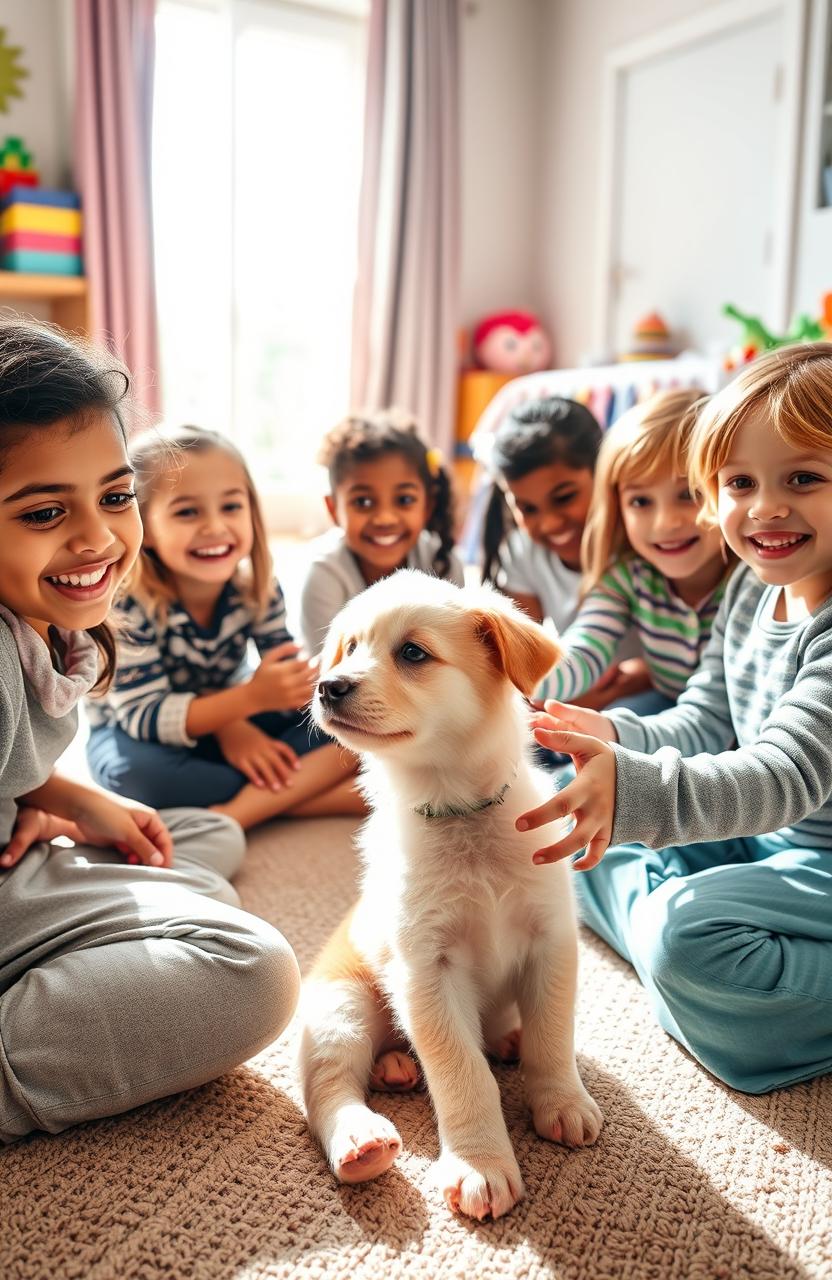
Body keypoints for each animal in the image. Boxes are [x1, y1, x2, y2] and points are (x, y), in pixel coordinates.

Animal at [300, 570, 599, 1218]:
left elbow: (552, 1036)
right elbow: (462, 1070)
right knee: (327, 1086)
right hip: (340, 1009)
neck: (463, 816)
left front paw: (560, 1100)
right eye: (351, 648)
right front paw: (481, 1163)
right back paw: (361, 1139)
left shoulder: (551, 941)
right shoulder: (426, 969)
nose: (328, 686)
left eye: (413, 653)